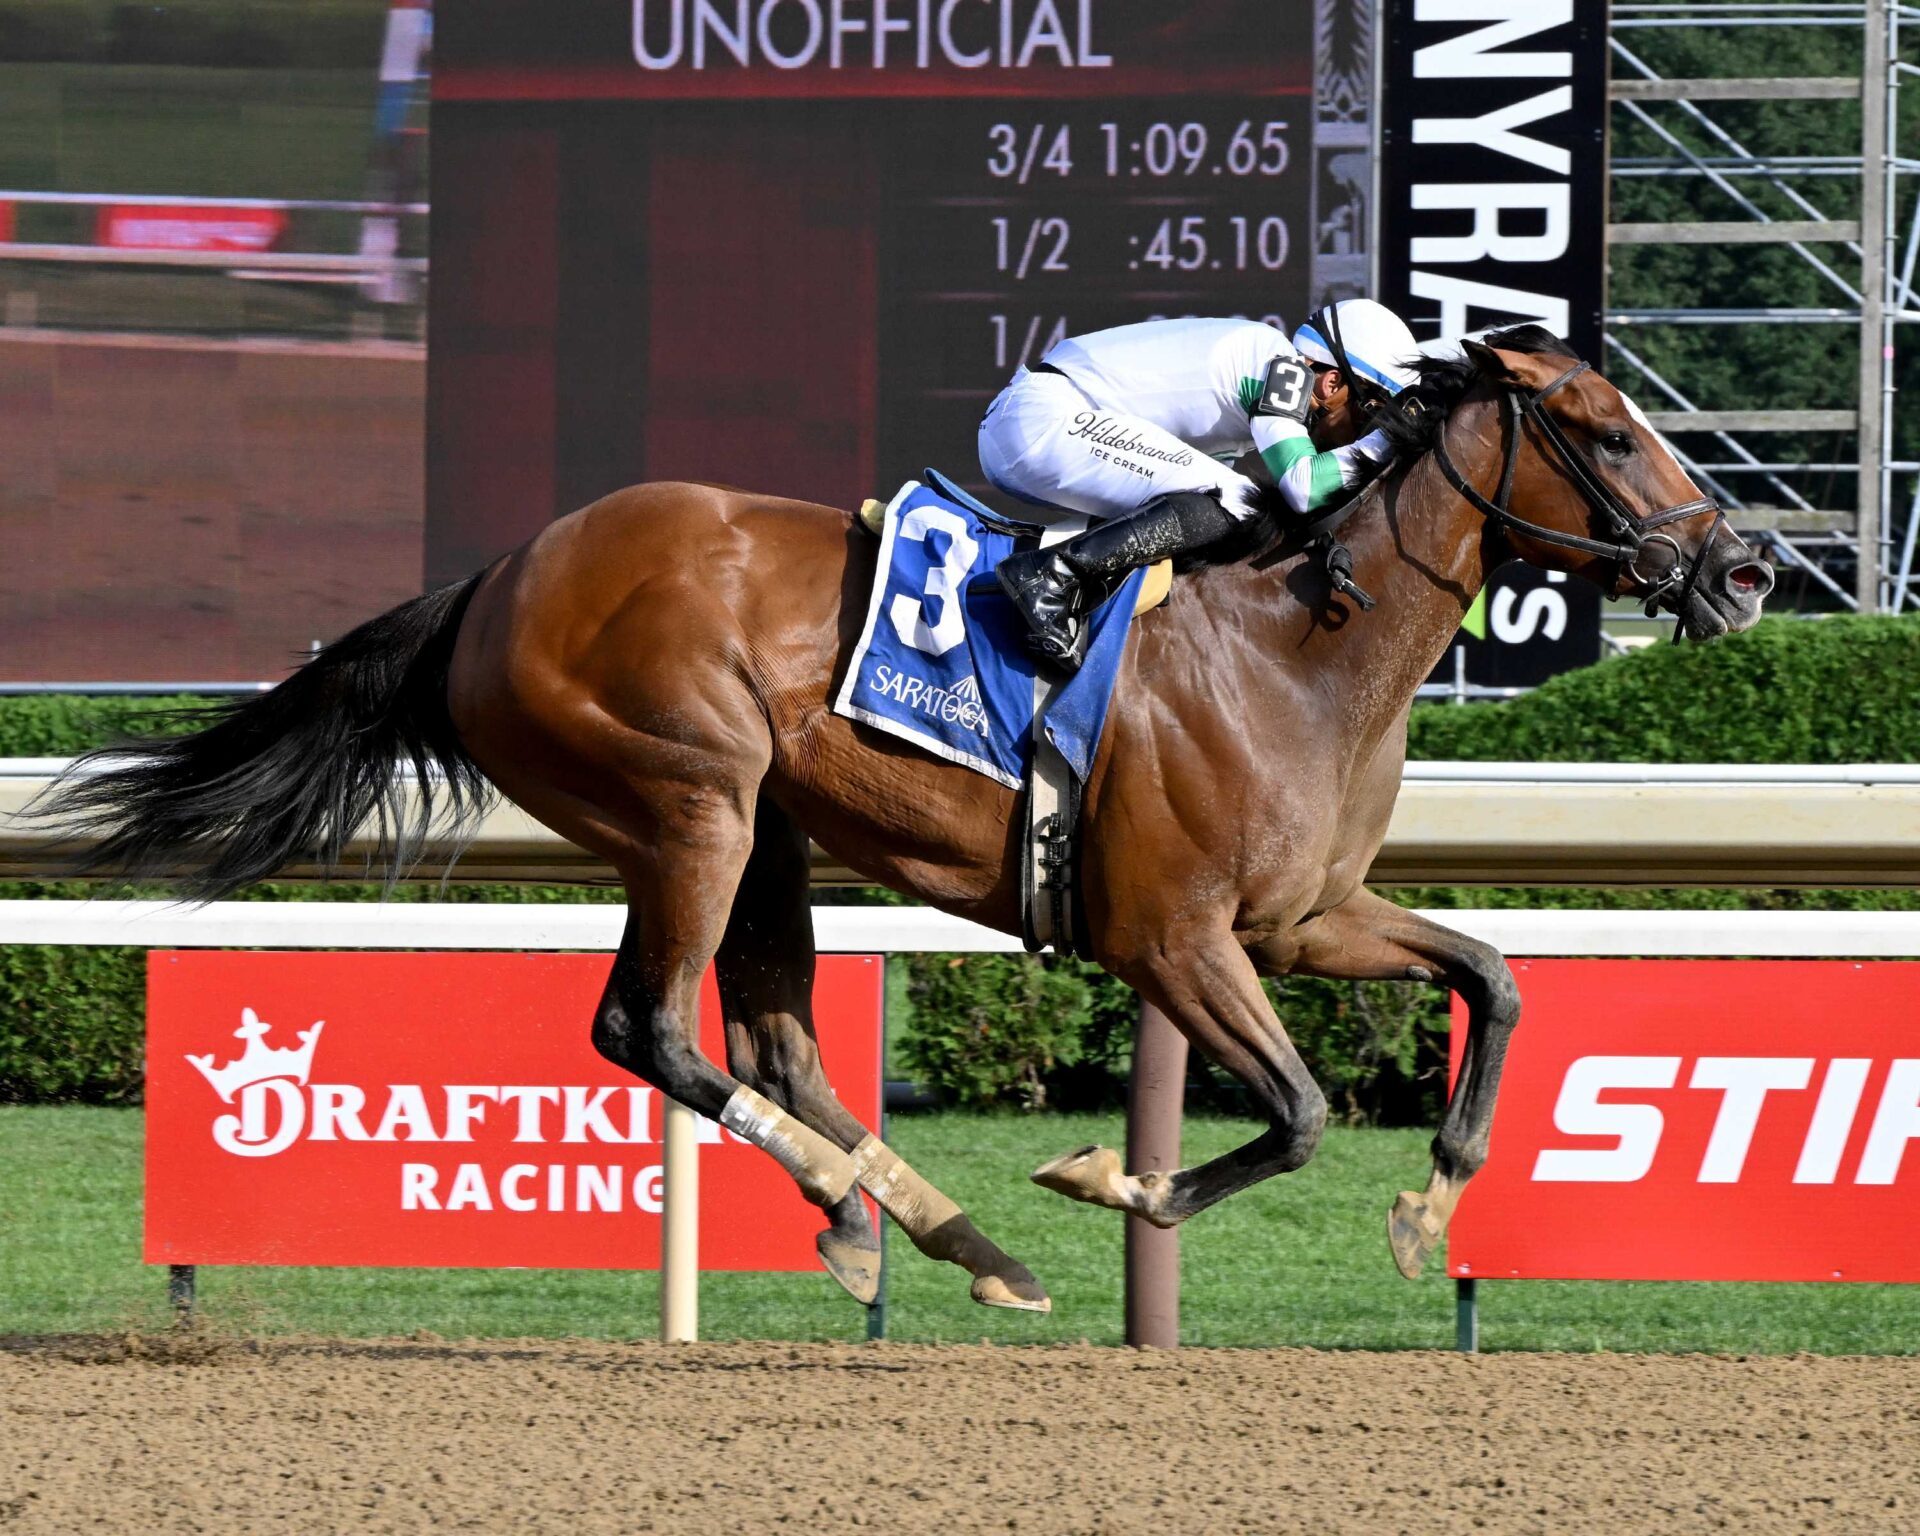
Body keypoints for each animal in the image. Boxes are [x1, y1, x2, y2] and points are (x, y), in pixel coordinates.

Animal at [41, 328, 1773, 1315]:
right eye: (1605, 429)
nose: (1745, 564)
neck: (1301, 641)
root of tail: (497, 576)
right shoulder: (1171, 936)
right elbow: (1293, 1111)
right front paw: (1115, 1182)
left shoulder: (1299, 918)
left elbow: (1494, 977)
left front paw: (1430, 1206)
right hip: (690, 798)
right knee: (650, 1028)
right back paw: (891, 1221)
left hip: (766, 827)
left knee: (774, 1038)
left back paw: (933, 1236)